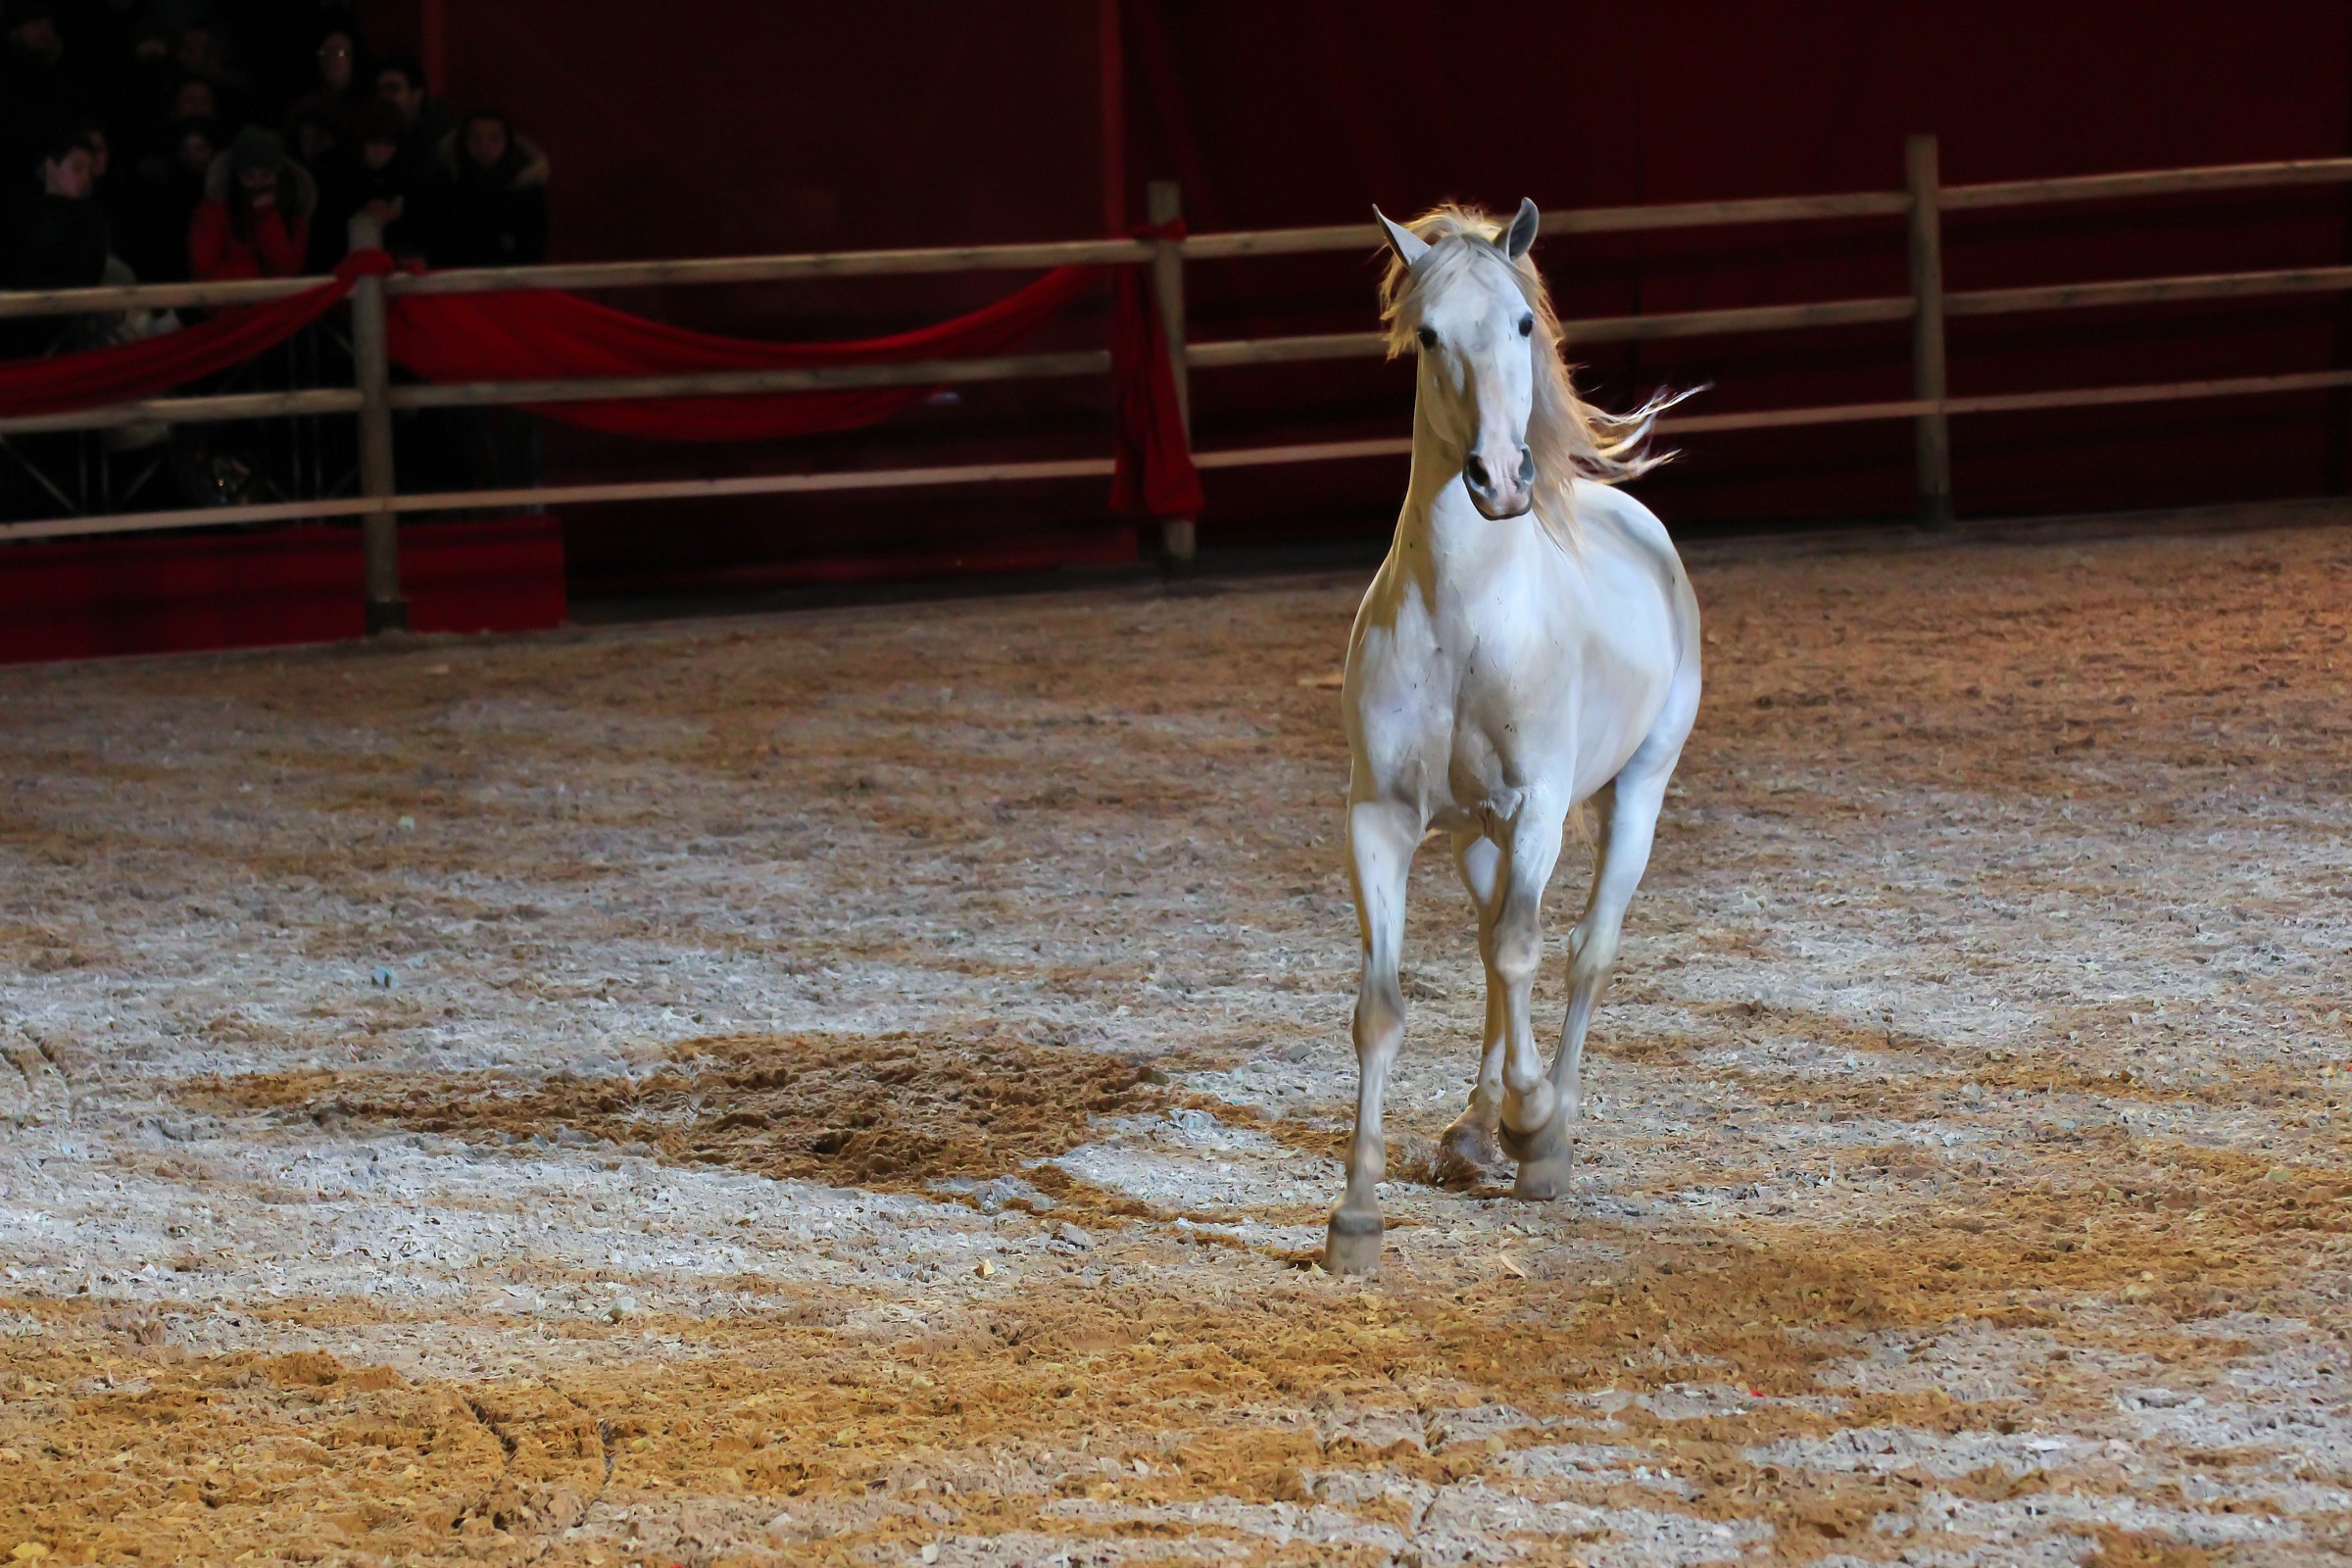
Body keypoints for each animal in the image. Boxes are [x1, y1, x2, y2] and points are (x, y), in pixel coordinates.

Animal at [1323, 199, 1703, 1275]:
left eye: (1525, 324)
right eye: (1429, 335)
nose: (1498, 478)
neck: (1465, 618)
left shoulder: (1536, 805)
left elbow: (1526, 952)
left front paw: (1538, 1128)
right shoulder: (1384, 820)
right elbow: (1386, 1004)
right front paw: (1356, 1216)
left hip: (1635, 793)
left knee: (1578, 951)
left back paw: (1544, 1133)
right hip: (1473, 836)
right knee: (1498, 955)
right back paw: (1474, 1131)